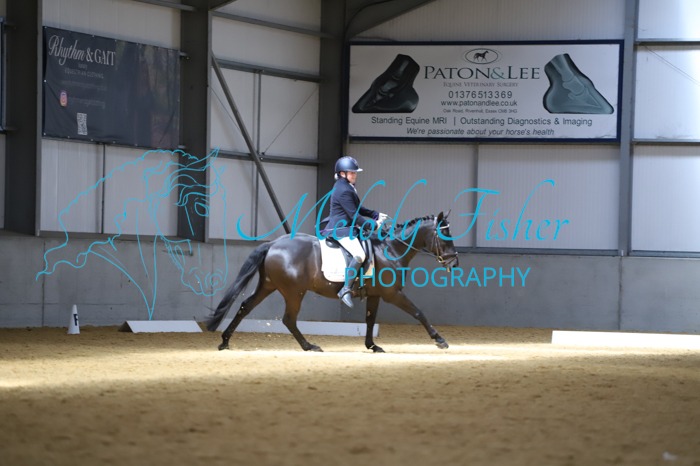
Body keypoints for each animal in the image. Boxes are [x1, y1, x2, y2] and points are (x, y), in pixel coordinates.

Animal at [205, 211, 459, 352]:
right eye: (445, 236)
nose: (454, 263)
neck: (390, 249)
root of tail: (273, 244)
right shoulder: (392, 294)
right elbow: (418, 312)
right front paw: (440, 340)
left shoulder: (376, 295)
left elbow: (370, 321)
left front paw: (372, 346)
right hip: (294, 292)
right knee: (289, 319)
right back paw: (309, 346)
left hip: (268, 286)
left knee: (245, 307)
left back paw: (225, 341)